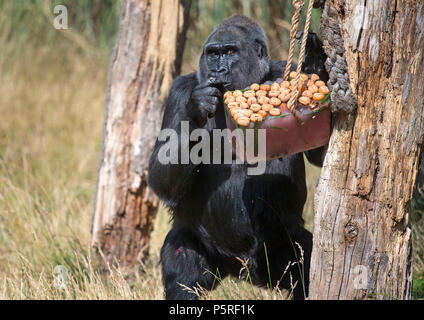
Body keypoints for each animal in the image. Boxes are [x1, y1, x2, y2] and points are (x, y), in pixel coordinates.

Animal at [148, 15, 328, 300]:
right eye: (213, 54)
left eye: (230, 52)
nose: (219, 70)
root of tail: (242, 271)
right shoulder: (178, 92)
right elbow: (161, 172)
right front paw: (197, 107)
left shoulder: (283, 73)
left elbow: (319, 149)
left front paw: (314, 59)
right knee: (182, 272)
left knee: (305, 265)